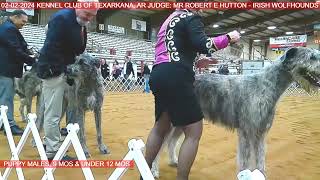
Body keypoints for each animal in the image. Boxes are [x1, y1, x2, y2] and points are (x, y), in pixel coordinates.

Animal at [151, 47, 320, 178]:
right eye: (311, 57)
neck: (266, 85)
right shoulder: (246, 131)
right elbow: (245, 159)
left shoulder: (260, 133)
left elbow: (260, 158)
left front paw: (260, 173)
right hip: (170, 122)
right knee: (158, 144)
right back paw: (153, 171)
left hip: (183, 121)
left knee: (171, 142)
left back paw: (174, 161)